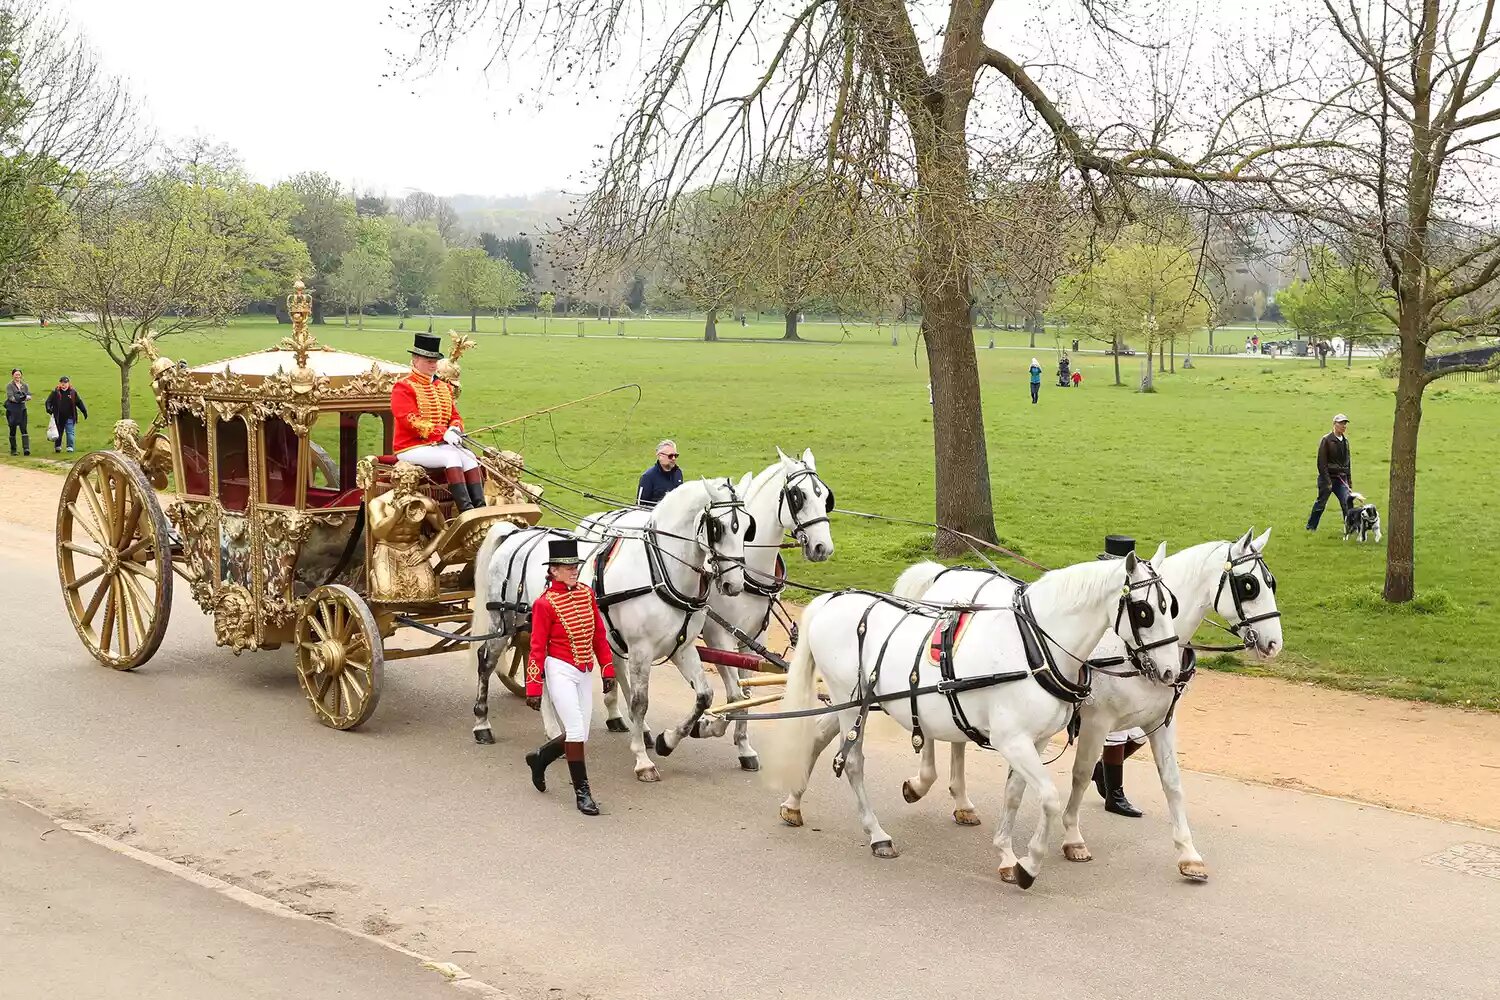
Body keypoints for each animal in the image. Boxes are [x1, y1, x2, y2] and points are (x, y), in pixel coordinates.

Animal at [468, 476, 750, 779]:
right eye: (717, 527)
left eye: (747, 527)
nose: (734, 584)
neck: (659, 571)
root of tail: (515, 534)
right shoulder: (640, 650)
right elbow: (640, 702)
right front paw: (642, 759)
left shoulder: (682, 648)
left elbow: (705, 696)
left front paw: (671, 739)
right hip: (504, 623)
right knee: (486, 661)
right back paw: (482, 723)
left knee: (540, 669)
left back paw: (553, 731)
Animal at [690, 449, 834, 773]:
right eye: (798, 496)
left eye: (825, 495)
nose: (823, 547)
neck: (746, 571)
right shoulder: (719, 636)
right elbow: (733, 694)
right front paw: (707, 725)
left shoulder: (755, 637)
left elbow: (746, 693)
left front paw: (744, 747)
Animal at [762, 551, 1182, 887]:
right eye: (1144, 611)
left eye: (1172, 607)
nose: (1170, 672)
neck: (1034, 647)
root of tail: (831, 599)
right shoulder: (1012, 739)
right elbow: (1048, 797)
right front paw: (1029, 864)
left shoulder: (1034, 741)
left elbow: (1014, 795)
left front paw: (1007, 856)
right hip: (849, 703)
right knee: (852, 762)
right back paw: (876, 833)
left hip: (850, 703)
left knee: (819, 735)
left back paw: (793, 802)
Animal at [894, 527, 1284, 881]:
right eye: (1249, 585)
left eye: (1272, 583)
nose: (1274, 643)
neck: (1127, 649)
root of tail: (946, 573)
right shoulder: (1098, 721)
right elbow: (1080, 775)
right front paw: (1073, 837)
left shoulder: (1160, 721)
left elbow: (1172, 782)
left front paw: (1188, 854)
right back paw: (921, 783)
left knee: (957, 739)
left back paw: (961, 802)